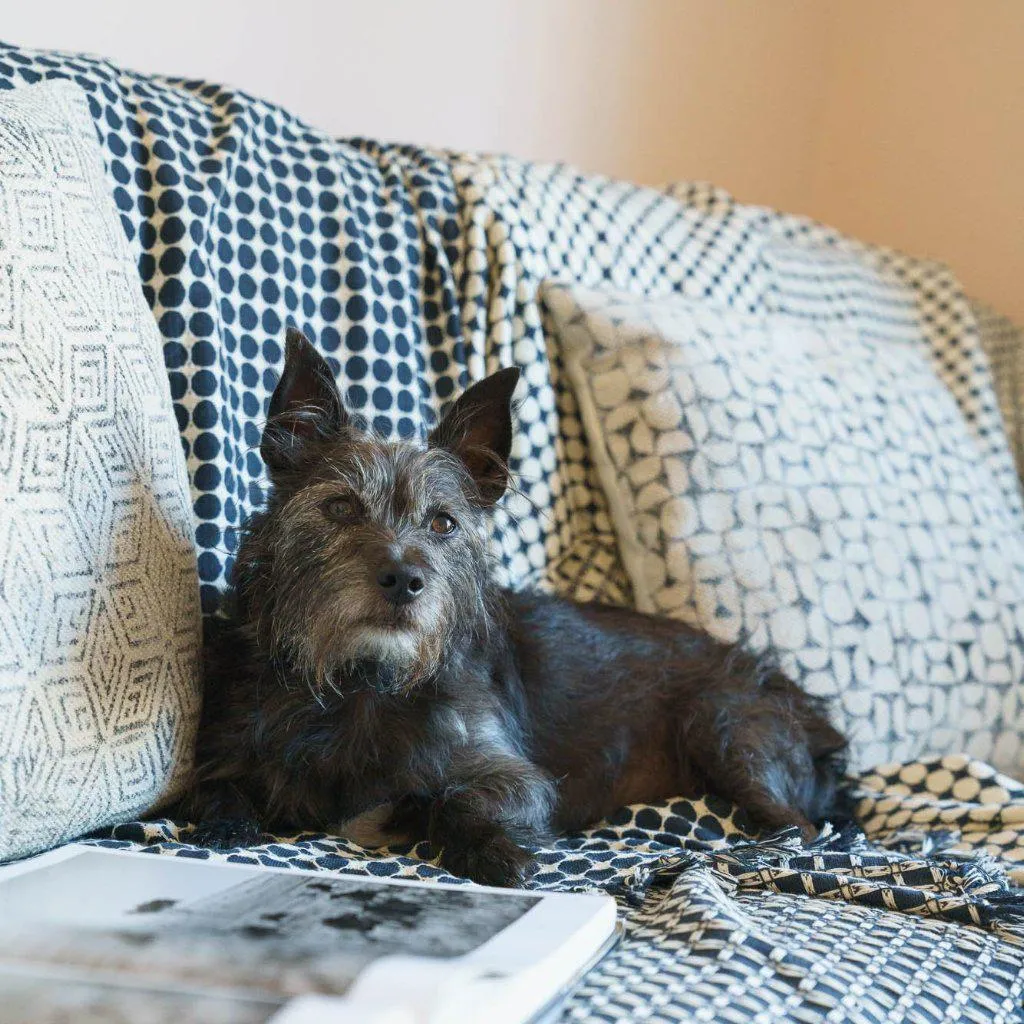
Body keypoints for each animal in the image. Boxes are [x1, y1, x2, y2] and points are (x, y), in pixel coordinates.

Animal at [182, 329, 847, 888]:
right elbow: (220, 792)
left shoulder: (514, 775)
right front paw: (229, 823)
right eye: (341, 507)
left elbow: (456, 797)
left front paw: (491, 850)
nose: (405, 580)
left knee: (803, 828)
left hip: (724, 723)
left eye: (443, 523)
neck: (366, 682)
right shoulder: (226, 751)